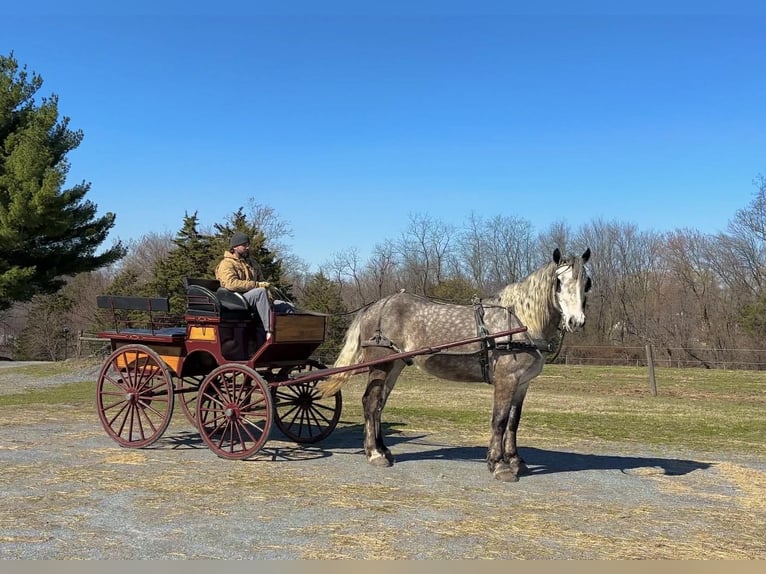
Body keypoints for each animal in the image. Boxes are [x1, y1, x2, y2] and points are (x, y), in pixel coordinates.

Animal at [318, 247, 592, 482]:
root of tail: (375, 305)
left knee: (378, 405)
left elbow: (514, 422)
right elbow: (500, 420)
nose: (575, 321)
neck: (520, 322)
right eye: (558, 282)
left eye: (586, 283)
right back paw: (374, 454)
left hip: (394, 366)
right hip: (380, 365)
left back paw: (383, 450)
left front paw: (515, 461)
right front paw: (499, 465)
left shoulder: (522, 383)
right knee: (370, 402)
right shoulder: (506, 379)